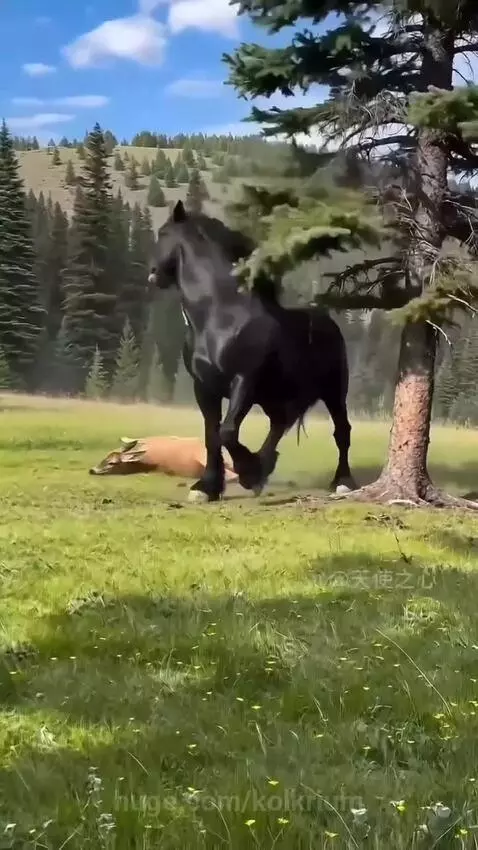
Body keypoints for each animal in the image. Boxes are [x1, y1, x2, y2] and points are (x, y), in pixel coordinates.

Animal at [147, 199, 357, 503]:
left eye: (162, 233)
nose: (154, 274)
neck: (220, 315)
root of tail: (329, 323)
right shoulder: (204, 388)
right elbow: (212, 435)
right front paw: (207, 487)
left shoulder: (244, 380)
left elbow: (227, 431)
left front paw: (246, 472)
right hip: (275, 397)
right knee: (280, 424)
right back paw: (265, 465)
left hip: (334, 391)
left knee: (341, 431)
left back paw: (342, 482)